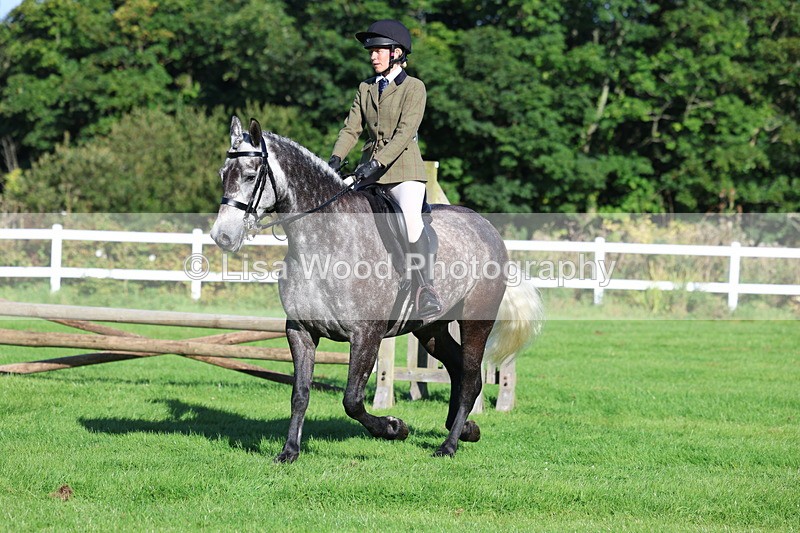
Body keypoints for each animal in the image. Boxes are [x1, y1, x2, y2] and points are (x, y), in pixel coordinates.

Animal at [211, 116, 543, 462]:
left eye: (250, 176)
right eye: (223, 175)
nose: (222, 236)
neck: (326, 241)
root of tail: (487, 227)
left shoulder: (366, 335)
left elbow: (352, 400)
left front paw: (394, 427)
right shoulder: (300, 331)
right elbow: (300, 393)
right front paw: (289, 452)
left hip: (476, 320)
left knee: (468, 377)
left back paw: (448, 445)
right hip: (430, 328)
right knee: (457, 367)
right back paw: (465, 428)